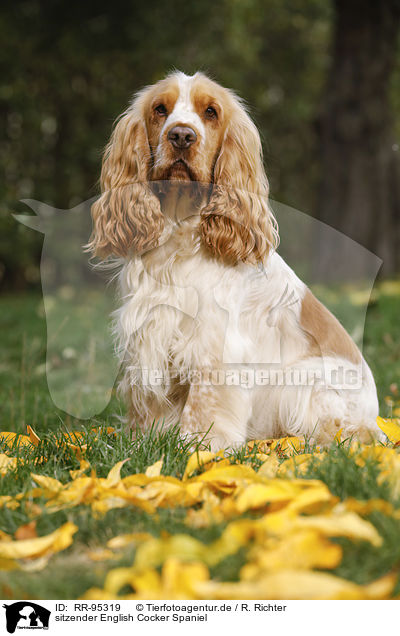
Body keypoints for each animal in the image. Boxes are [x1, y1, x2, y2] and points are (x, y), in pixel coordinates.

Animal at [87, 72, 382, 450]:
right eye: (160, 109)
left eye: (211, 112)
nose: (181, 136)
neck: (180, 233)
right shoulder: (148, 332)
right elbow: (150, 404)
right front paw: (143, 443)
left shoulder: (215, 345)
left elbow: (204, 404)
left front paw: (198, 446)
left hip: (307, 381)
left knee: (354, 432)